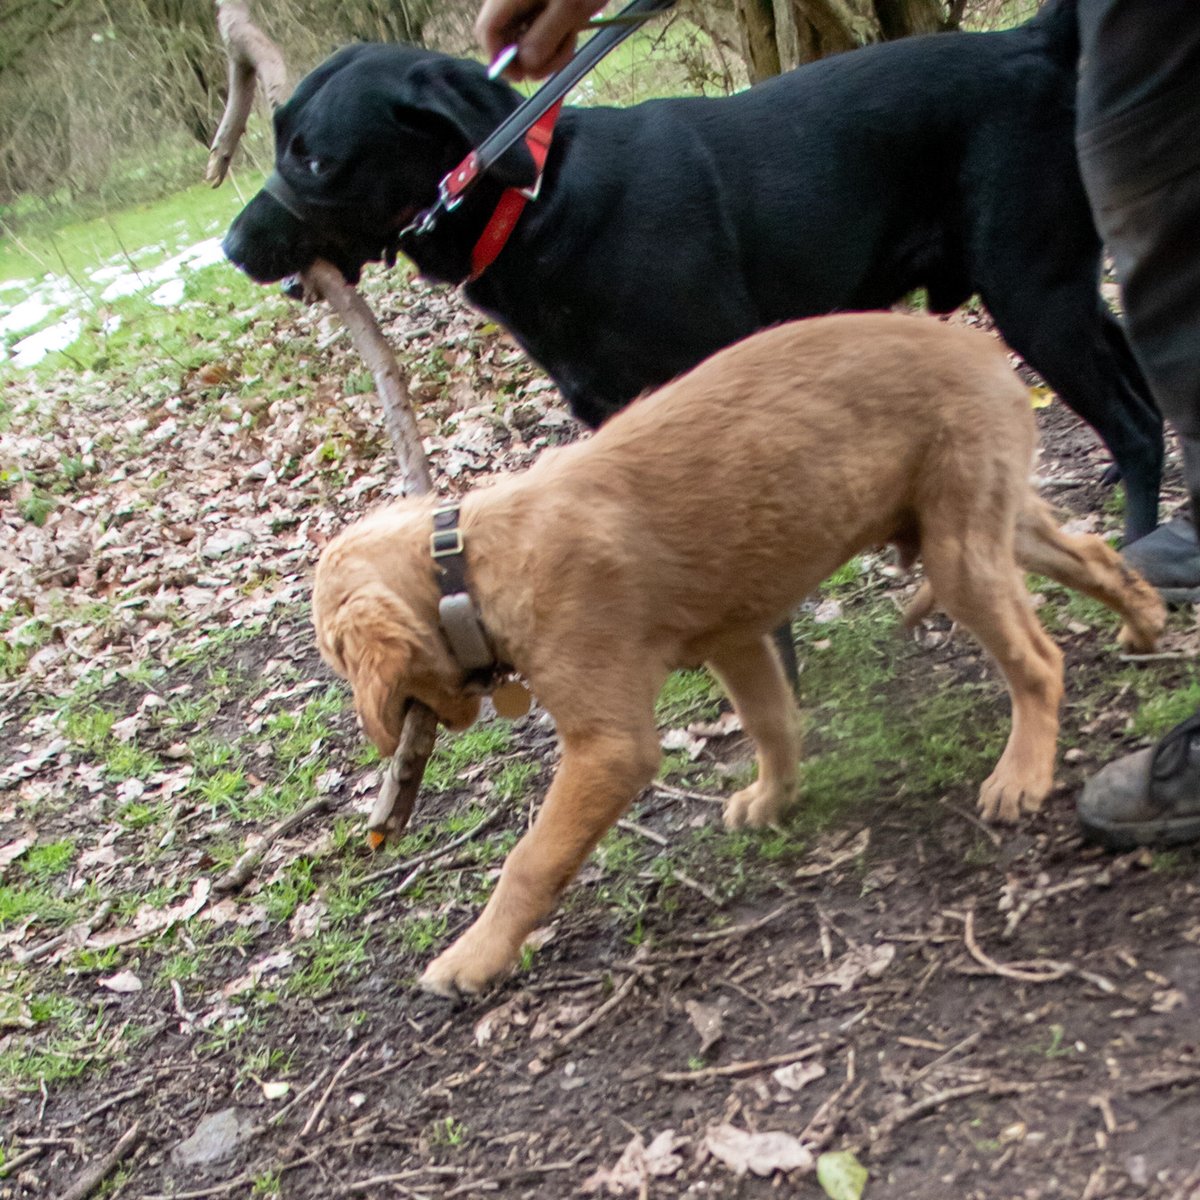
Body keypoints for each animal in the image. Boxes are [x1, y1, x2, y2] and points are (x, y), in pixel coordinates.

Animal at [225, 0, 1161, 540]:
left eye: (315, 160)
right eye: (277, 138)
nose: (232, 248)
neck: (536, 206)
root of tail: (1028, 41)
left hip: (1032, 295)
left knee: (1134, 418)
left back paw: (1143, 542)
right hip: (1059, 287)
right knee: (1140, 383)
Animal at [314, 309, 1166, 993]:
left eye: (336, 660)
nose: (377, 746)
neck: (468, 566)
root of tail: (982, 346)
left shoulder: (609, 744)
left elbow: (532, 857)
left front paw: (473, 958)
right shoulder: (735, 636)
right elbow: (772, 721)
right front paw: (774, 799)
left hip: (959, 552)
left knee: (1039, 661)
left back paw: (1021, 776)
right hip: (979, 520)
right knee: (1090, 552)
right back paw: (1147, 619)